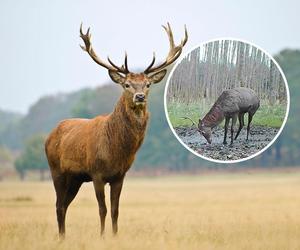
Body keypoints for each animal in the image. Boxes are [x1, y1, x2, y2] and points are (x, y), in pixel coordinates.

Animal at [44, 22, 186, 237]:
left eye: (147, 84)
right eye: (127, 84)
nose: (139, 96)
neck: (116, 151)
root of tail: (49, 135)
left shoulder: (120, 175)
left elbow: (115, 210)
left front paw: (115, 235)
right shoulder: (96, 173)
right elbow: (102, 209)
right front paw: (102, 236)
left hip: (75, 178)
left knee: (64, 205)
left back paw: (63, 237)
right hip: (56, 170)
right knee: (59, 206)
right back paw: (61, 238)